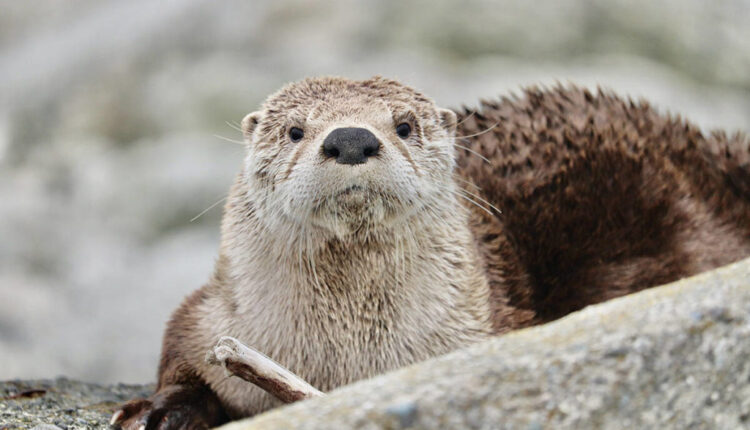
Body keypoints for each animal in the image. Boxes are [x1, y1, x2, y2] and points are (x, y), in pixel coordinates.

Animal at [112, 76, 750, 429]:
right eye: (295, 130)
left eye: (404, 126)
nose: (350, 138)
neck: (350, 362)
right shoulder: (218, 313)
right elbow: (180, 348)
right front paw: (161, 410)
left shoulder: (482, 327)